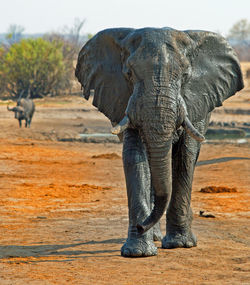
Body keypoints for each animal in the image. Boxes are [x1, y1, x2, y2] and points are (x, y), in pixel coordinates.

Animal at [75, 27, 243, 256]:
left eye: (185, 76)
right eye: (128, 74)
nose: (140, 226)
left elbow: (185, 156)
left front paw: (180, 244)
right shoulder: (126, 100)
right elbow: (134, 156)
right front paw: (138, 252)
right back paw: (153, 235)